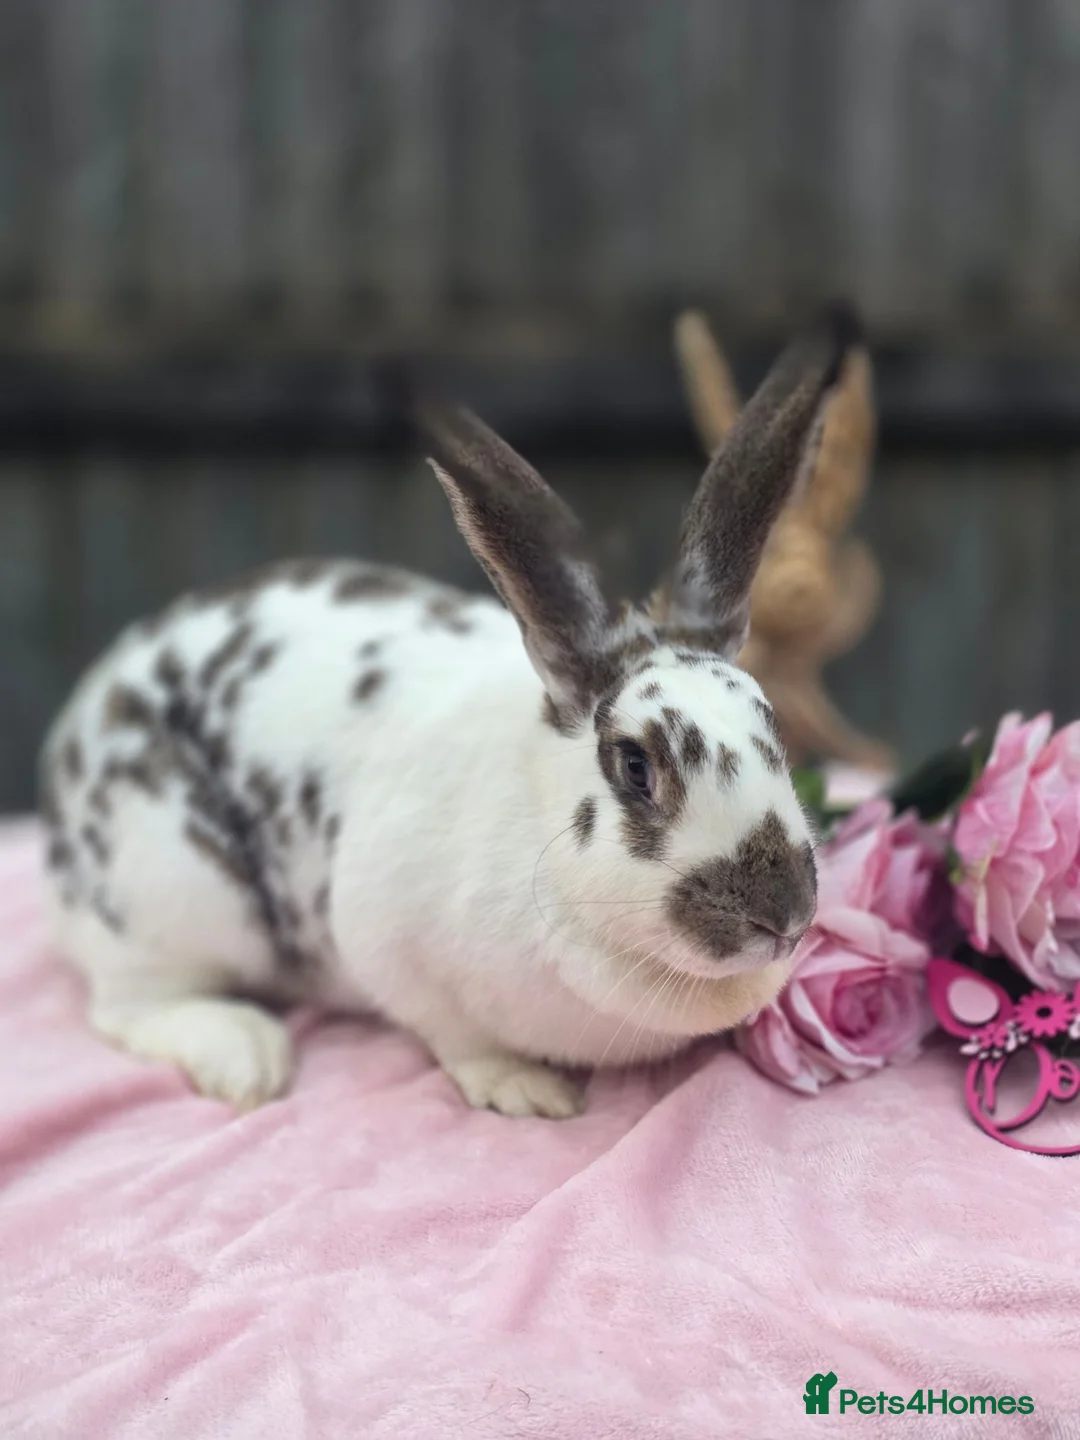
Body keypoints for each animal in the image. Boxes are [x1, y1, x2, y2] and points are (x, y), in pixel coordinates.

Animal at [38, 305, 854, 1118]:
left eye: (773, 728)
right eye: (634, 765)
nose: (781, 914)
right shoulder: (387, 943)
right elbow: (458, 1038)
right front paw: (526, 1089)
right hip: (169, 897)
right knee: (129, 1005)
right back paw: (248, 1057)